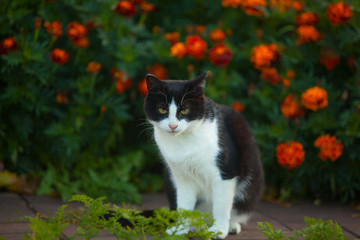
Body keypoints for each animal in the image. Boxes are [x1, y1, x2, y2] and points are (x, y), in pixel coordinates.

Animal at [143, 71, 264, 238]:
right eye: (162, 110)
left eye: (185, 110)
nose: (173, 125)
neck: (183, 142)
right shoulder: (182, 178)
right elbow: (184, 205)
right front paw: (180, 229)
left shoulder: (225, 173)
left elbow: (221, 205)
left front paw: (218, 230)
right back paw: (196, 225)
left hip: (250, 186)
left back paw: (230, 225)